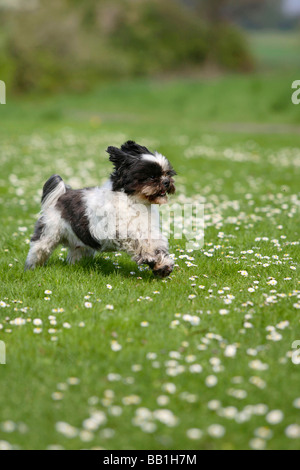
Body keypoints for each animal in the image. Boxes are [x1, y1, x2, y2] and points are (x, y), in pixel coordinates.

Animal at [25, 141, 177, 278]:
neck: (135, 202)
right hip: (48, 233)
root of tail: (62, 194)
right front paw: (151, 259)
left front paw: (162, 265)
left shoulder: (149, 230)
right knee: (38, 250)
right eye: (152, 176)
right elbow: (139, 242)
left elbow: (156, 244)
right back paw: (32, 268)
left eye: (167, 173)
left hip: (80, 245)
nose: (166, 182)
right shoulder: (119, 231)